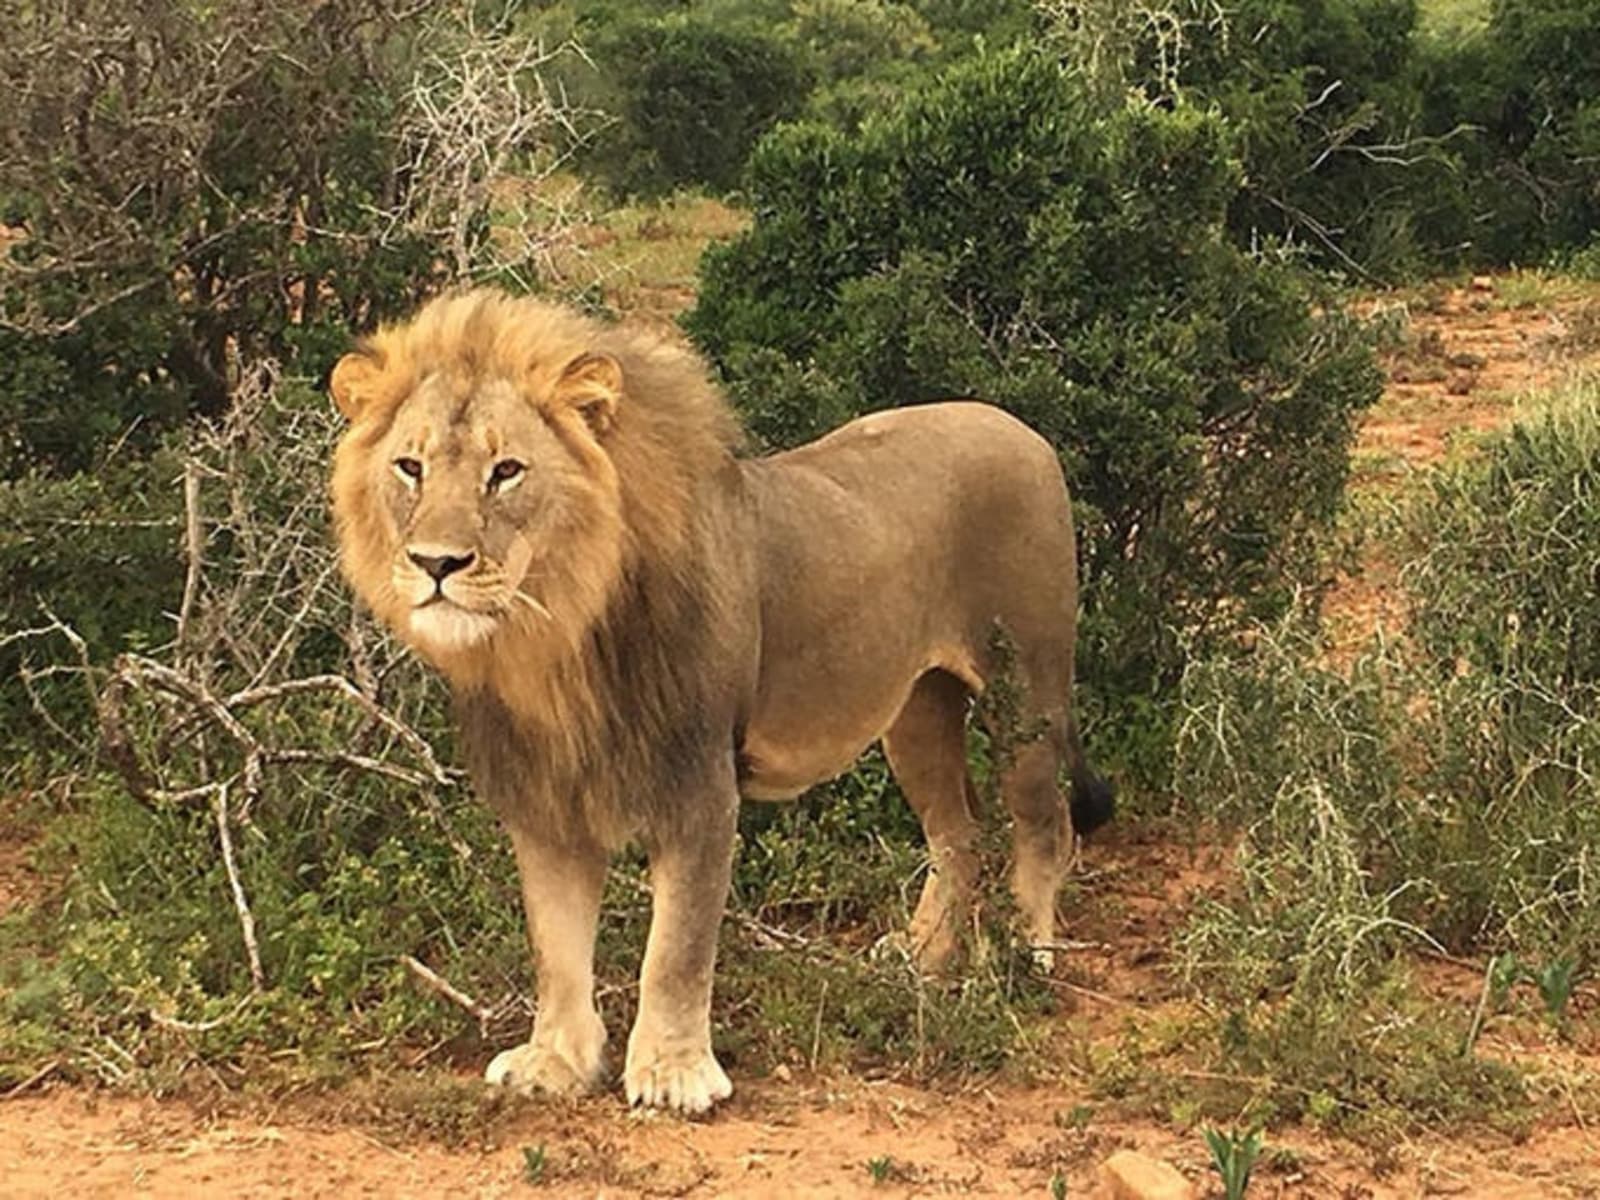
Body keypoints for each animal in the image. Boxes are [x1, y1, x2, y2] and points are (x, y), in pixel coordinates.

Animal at [329, 288, 1112, 1114]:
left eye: (506, 470)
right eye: (409, 467)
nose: (435, 563)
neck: (556, 644)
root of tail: (1026, 429)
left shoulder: (699, 783)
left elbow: (677, 946)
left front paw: (673, 1074)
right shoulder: (545, 798)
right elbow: (556, 945)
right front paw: (556, 1062)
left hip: (1029, 692)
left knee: (1044, 824)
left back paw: (1024, 960)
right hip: (915, 711)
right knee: (957, 832)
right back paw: (923, 957)